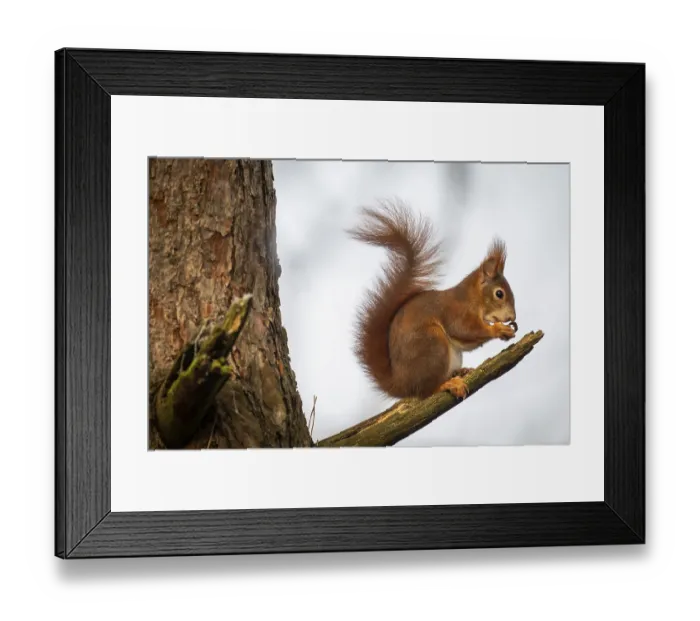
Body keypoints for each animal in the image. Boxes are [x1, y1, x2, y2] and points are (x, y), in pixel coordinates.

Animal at [348, 200, 518, 402]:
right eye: (499, 294)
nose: (512, 317)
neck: (472, 298)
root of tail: (402, 384)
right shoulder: (455, 312)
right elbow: (464, 329)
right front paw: (498, 329)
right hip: (433, 344)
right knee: (426, 391)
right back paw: (447, 384)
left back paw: (460, 372)